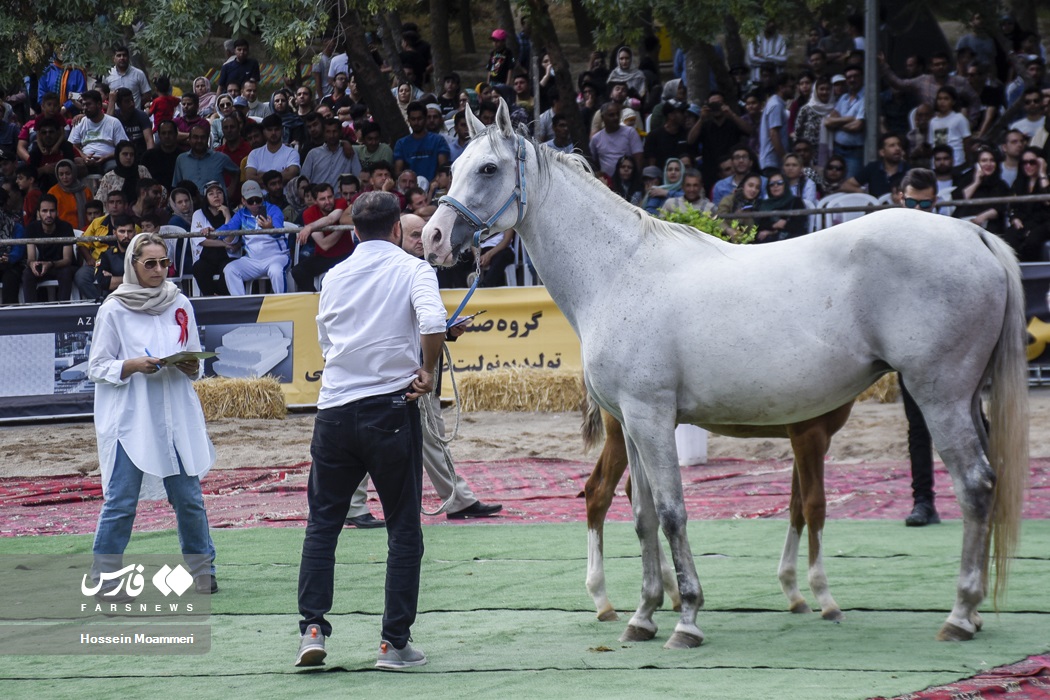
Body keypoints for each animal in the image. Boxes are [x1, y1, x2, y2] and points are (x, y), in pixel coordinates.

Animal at [422, 99, 1029, 650]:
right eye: (456, 166)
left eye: (488, 169)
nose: (432, 238)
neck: (619, 271)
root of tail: (974, 236)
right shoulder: (633, 423)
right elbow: (642, 515)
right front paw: (644, 615)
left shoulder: (650, 417)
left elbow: (672, 513)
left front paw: (687, 618)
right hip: (966, 399)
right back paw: (972, 614)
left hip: (939, 396)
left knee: (975, 485)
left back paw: (960, 614)